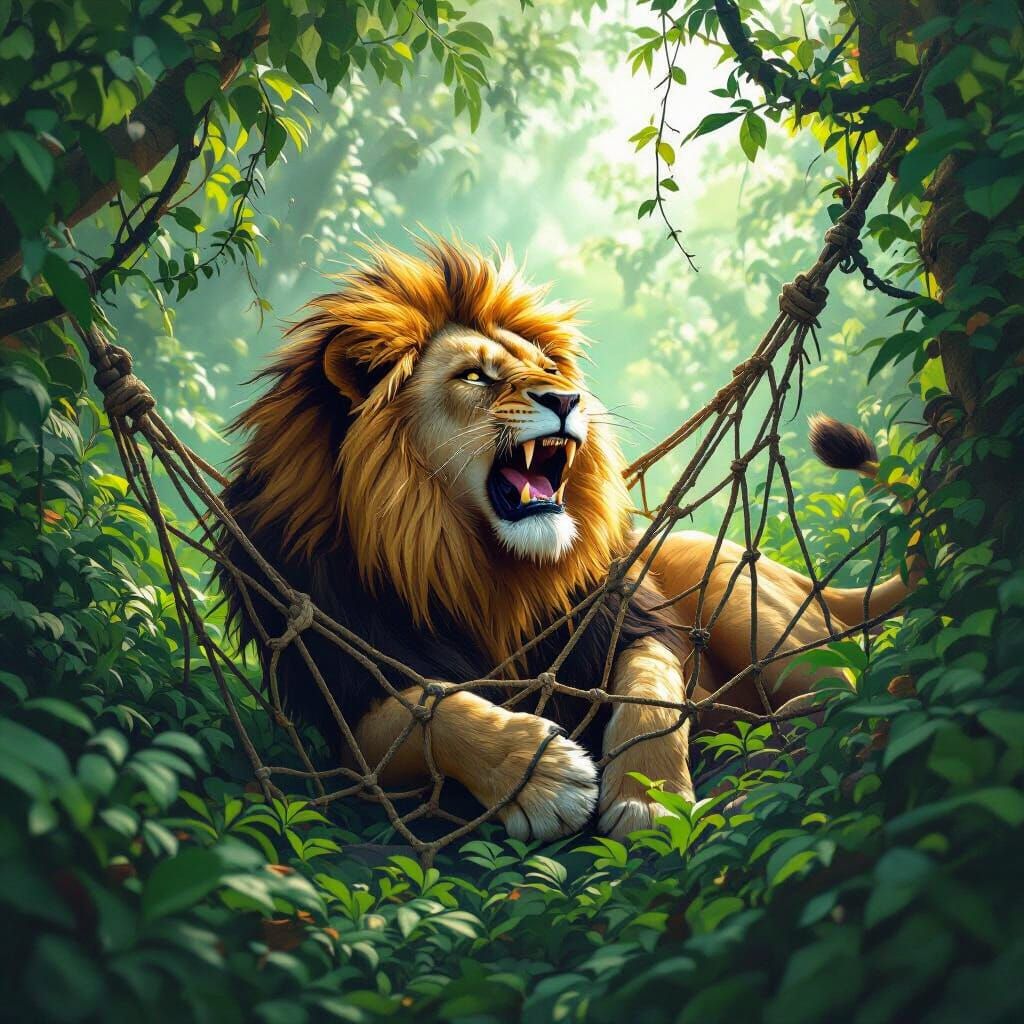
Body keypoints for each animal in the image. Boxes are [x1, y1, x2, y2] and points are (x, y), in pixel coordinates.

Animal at [217, 238, 912, 840]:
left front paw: (649, 798)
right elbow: (433, 710)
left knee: (855, 678)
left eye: (547, 367)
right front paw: (541, 780)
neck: (476, 565)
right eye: (475, 377)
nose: (568, 397)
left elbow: (650, 689)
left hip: (734, 591)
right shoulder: (343, 690)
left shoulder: (627, 619)